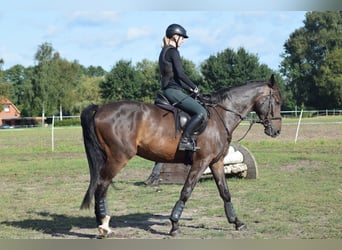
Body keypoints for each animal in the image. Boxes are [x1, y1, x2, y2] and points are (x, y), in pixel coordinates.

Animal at [79, 74, 280, 236]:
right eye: (277, 102)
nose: (276, 131)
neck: (221, 115)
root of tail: (100, 108)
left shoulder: (216, 162)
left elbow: (225, 192)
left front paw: (237, 222)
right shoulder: (201, 162)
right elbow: (186, 191)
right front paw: (174, 225)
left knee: (101, 187)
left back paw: (103, 223)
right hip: (118, 158)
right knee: (101, 186)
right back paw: (103, 226)